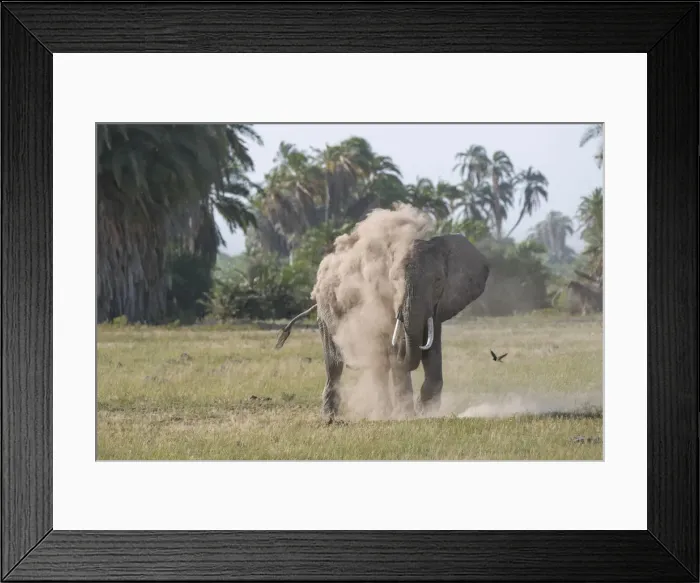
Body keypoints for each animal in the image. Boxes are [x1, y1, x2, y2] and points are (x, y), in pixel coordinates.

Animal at [275, 233, 490, 422]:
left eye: (438, 282)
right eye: (393, 281)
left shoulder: (437, 306)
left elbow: (432, 351)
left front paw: (425, 411)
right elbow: (396, 355)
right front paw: (407, 416)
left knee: (378, 364)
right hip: (324, 314)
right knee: (335, 363)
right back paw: (333, 417)